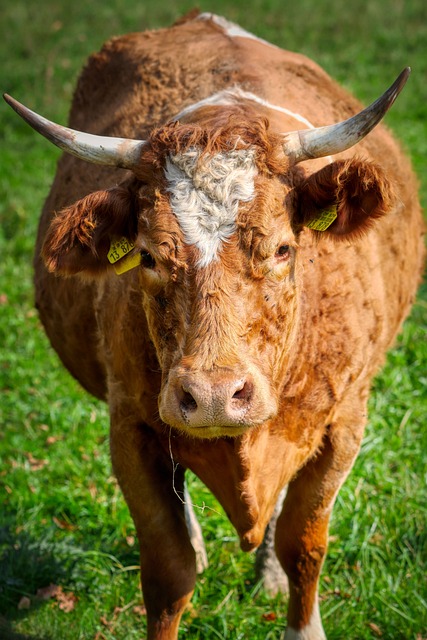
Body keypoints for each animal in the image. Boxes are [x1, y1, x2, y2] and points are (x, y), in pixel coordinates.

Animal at [3, 11, 424, 640]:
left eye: (282, 248)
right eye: (149, 257)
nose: (213, 396)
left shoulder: (346, 419)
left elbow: (304, 542)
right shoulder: (129, 427)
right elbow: (168, 566)